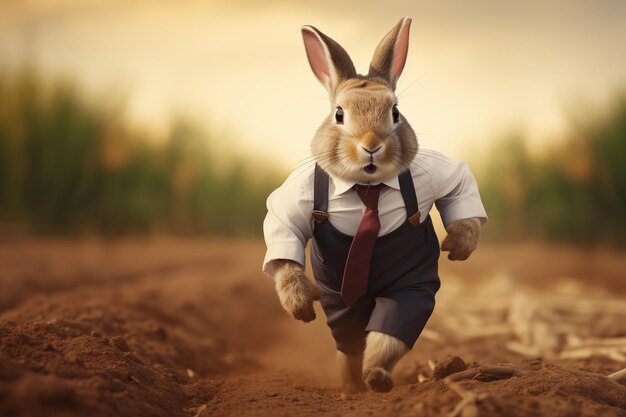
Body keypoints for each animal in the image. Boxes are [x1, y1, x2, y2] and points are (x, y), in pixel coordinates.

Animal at [262, 17, 482, 394]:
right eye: (339, 114)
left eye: (395, 112)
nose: (371, 145)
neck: (368, 188)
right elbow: (283, 232)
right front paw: (300, 305)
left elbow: (460, 187)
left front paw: (458, 244)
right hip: (340, 301)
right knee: (348, 340)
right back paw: (352, 387)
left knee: (385, 331)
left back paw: (376, 379)